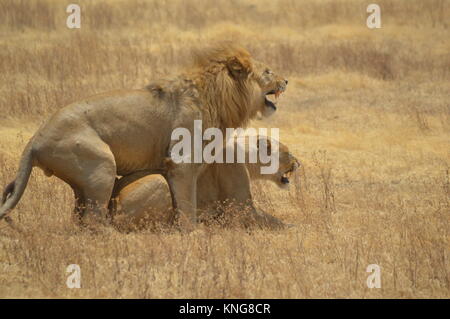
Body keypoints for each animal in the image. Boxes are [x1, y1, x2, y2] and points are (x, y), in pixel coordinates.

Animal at [109, 136, 300, 232]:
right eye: (288, 153)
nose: (298, 163)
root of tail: (113, 200)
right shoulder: (241, 207)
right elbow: (272, 220)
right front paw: (294, 227)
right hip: (160, 181)